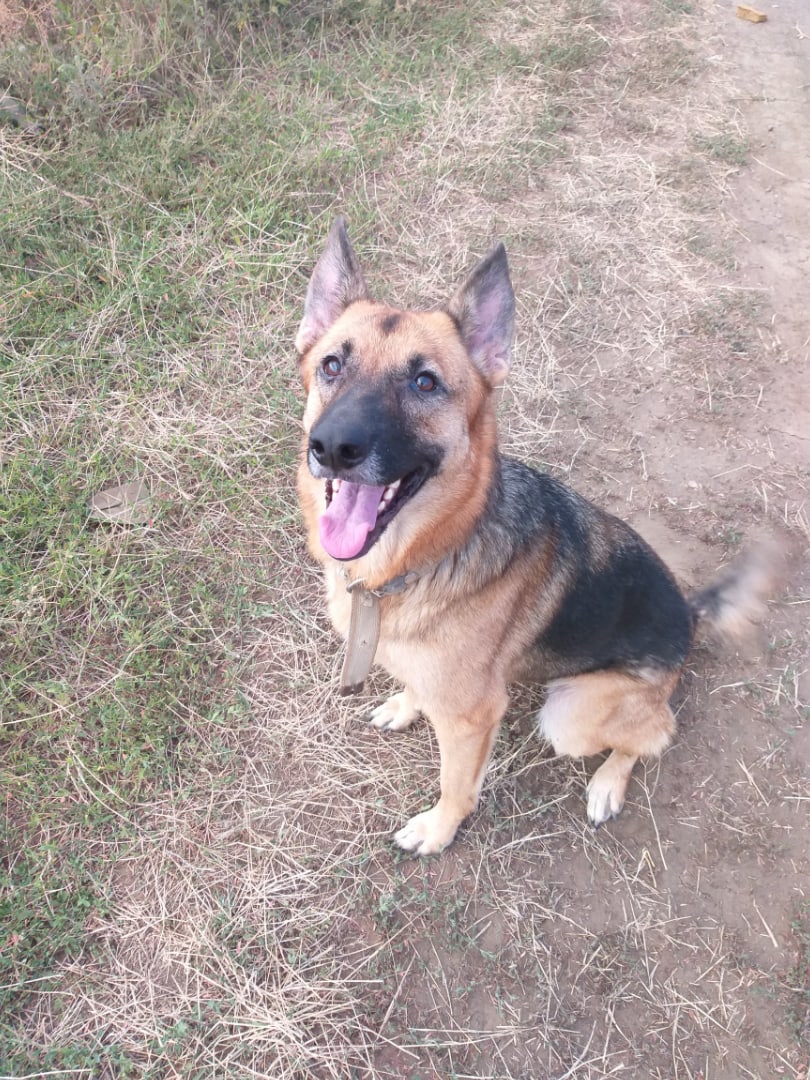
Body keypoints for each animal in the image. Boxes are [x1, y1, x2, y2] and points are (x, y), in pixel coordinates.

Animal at [295, 217, 770, 856]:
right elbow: (419, 688)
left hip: (571, 714)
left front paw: (439, 830)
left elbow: (456, 785)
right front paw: (405, 705)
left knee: (654, 734)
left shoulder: (472, 719)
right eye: (331, 366)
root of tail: (689, 618)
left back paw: (608, 783)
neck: (429, 555)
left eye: (425, 382)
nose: (333, 447)